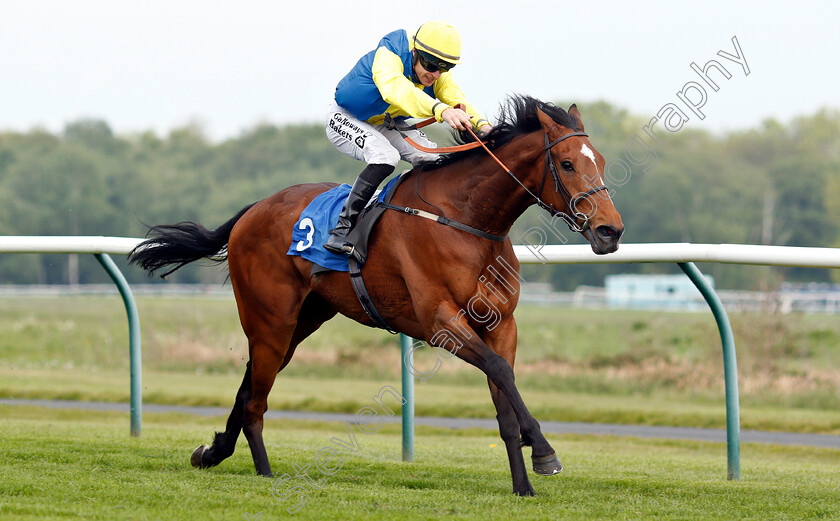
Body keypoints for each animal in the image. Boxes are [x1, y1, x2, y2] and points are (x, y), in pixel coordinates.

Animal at [130, 94, 624, 496]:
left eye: (599, 160)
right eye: (566, 164)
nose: (610, 231)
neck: (467, 220)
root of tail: (254, 209)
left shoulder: (501, 324)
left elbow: (504, 395)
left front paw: (524, 484)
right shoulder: (441, 323)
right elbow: (502, 372)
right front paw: (543, 450)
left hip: (301, 321)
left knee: (249, 383)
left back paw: (213, 452)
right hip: (270, 320)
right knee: (255, 399)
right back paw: (264, 472)